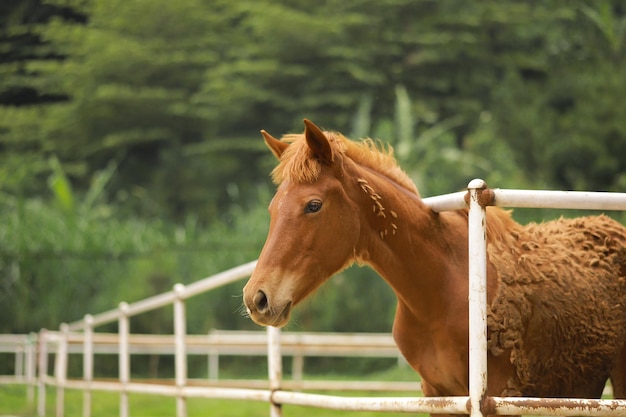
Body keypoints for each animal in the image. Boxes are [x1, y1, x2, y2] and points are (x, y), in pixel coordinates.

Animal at [241, 118, 624, 414]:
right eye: (273, 208)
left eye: (314, 205)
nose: (257, 298)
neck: (442, 289)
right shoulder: (438, 395)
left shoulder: (500, 395)